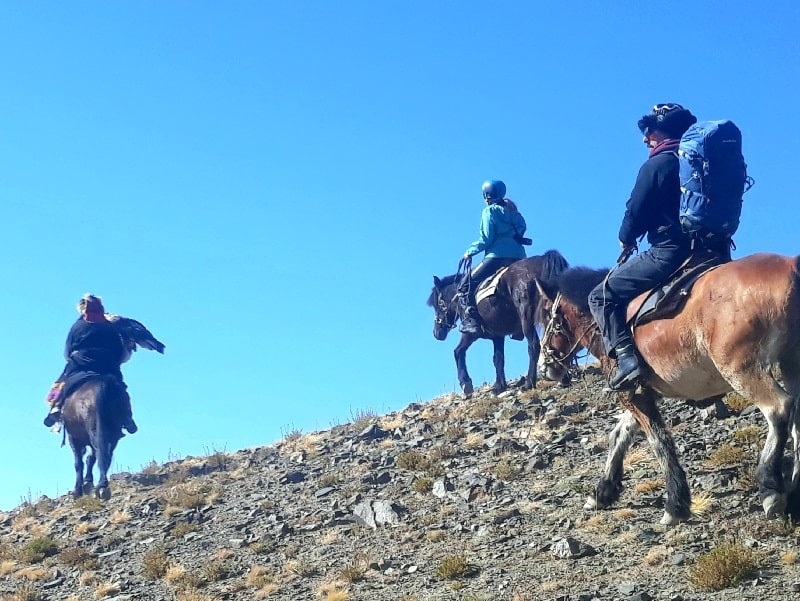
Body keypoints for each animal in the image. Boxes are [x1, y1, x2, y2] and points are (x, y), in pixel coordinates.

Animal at [428, 250, 572, 396]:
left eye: (438, 304)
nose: (437, 333)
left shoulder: (471, 333)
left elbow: (458, 351)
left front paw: (466, 383)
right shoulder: (497, 335)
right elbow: (498, 358)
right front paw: (499, 386)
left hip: (526, 316)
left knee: (533, 345)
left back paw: (529, 383)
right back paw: (563, 378)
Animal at [536, 251, 800, 524]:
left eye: (546, 316)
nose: (544, 367)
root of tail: (791, 265)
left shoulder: (633, 396)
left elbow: (659, 442)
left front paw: (675, 505)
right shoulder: (639, 393)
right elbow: (619, 435)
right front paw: (602, 492)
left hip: (742, 369)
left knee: (778, 409)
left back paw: (770, 488)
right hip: (790, 363)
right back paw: (794, 491)